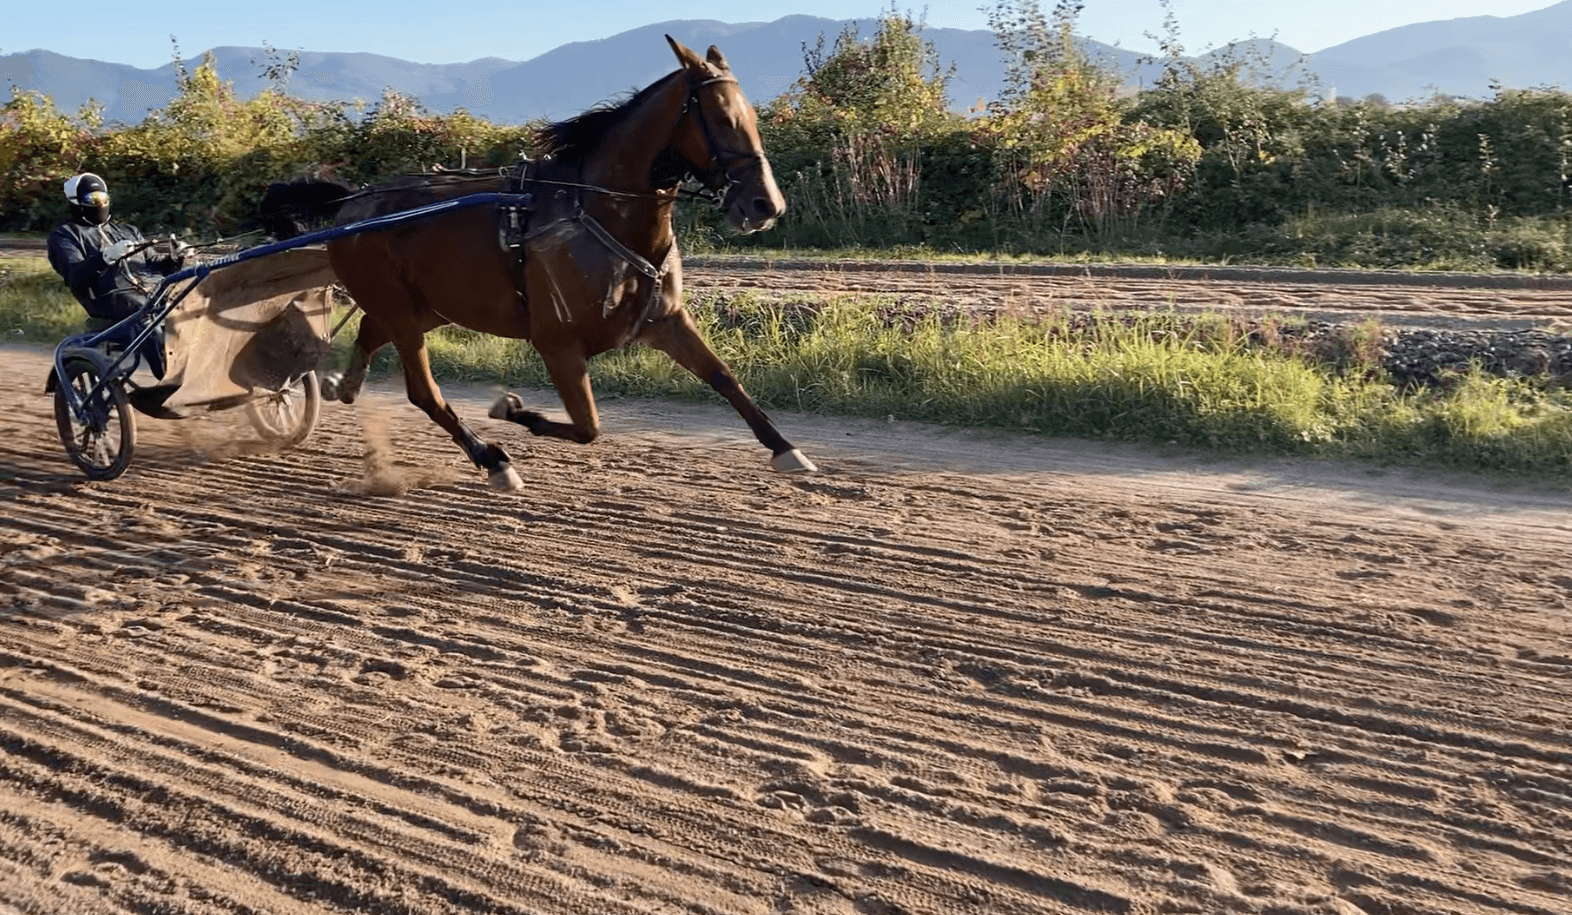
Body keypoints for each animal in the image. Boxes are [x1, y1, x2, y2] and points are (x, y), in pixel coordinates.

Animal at [278, 36, 813, 489]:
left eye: (752, 116)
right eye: (721, 118)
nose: (767, 205)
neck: (597, 213)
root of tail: (351, 205)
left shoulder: (666, 320)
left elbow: (725, 378)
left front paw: (787, 450)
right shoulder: (557, 342)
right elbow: (588, 427)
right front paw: (512, 412)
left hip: (431, 307)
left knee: (371, 331)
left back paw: (343, 386)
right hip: (403, 312)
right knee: (423, 391)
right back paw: (491, 459)